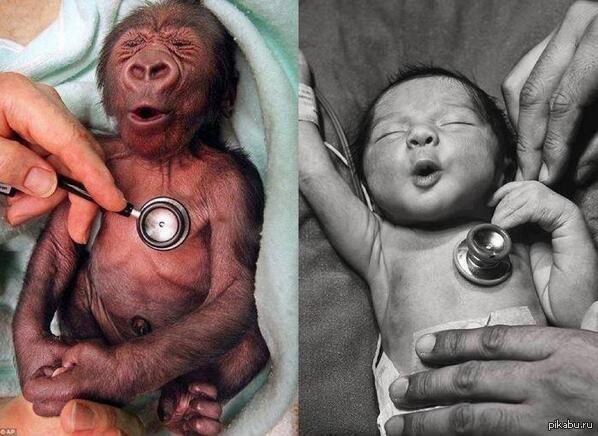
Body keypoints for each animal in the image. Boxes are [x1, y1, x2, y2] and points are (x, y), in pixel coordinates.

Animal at [11, 1, 270, 434]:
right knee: (78, 289)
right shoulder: (91, 156)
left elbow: (234, 289)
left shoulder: (237, 187)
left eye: (183, 46)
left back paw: (191, 407)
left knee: (252, 338)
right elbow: (61, 242)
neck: (162, 160)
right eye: (132, 46)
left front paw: (97, 375)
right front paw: (34, 350)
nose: (148, 66)